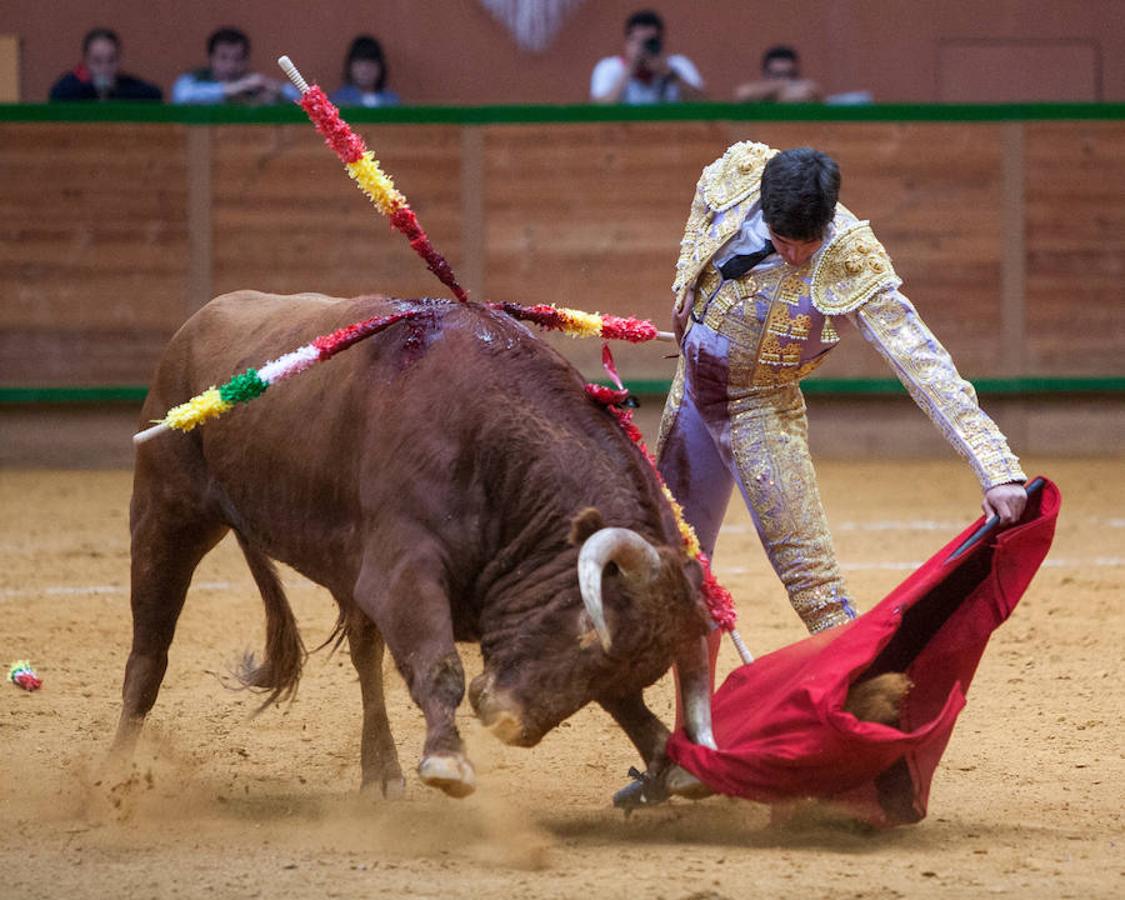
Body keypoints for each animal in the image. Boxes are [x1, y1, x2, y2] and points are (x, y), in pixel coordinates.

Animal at [114, 292, 711, 796]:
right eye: (587, 630)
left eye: (626, 662)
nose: (507, 720)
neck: (495, 448)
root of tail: (199, 320)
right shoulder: (403, 570)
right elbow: (437, 662)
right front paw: (447, 760)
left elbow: (623, 704)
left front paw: (668, 759)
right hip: (165, 517)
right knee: (149, 652)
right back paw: (113, 775)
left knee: (364, 656)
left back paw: (381, 774)